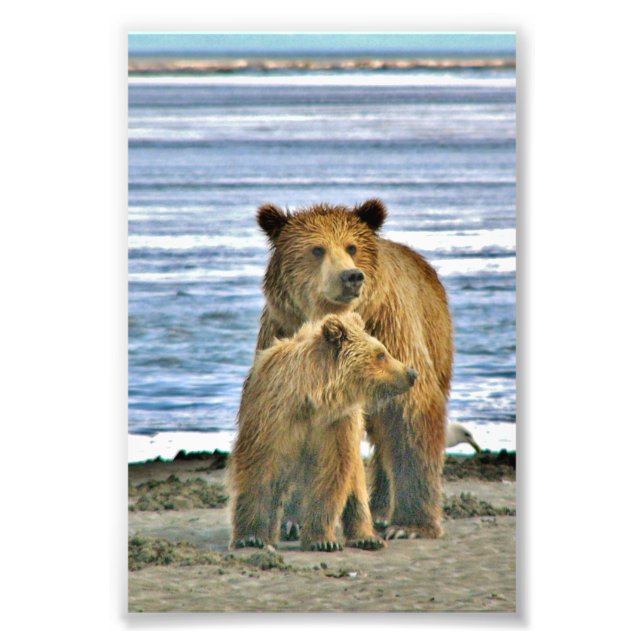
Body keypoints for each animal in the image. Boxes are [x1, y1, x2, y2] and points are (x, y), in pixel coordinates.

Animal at [229, 311, 418, 552]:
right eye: (381, 354)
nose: (412, 372)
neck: (314, 401)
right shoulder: (273, 420)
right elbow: (259, 469)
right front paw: (251, 537)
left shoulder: (336, 427)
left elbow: (331, 474)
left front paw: (322, 540)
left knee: (356, 487)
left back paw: (367, 537)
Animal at [254, 199, 453, 539]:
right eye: (317, 249)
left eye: (352, 247)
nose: (351, 276)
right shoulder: (284, 337)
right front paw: (295, 518)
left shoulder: (390, 334)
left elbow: (411, 412)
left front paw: (411, 525)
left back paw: (384, 512)